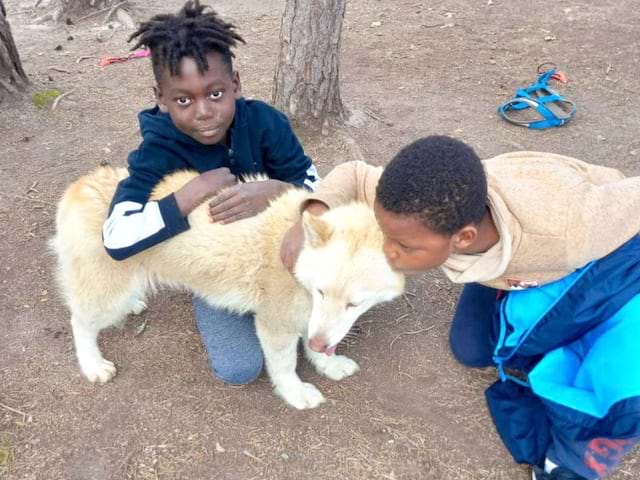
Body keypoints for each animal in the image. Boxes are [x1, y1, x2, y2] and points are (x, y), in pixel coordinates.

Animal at [53, 168, 404, 408]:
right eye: (320, 292)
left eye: (355, 304)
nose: (321, 343)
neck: (294, 253)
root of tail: (82, 184)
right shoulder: (276, 325)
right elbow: (286, 366)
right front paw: (295, 393)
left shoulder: (311, 319)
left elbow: (318, 343)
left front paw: (328, 364)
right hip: (105, 295)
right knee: (79, 323)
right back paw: (93, 365)